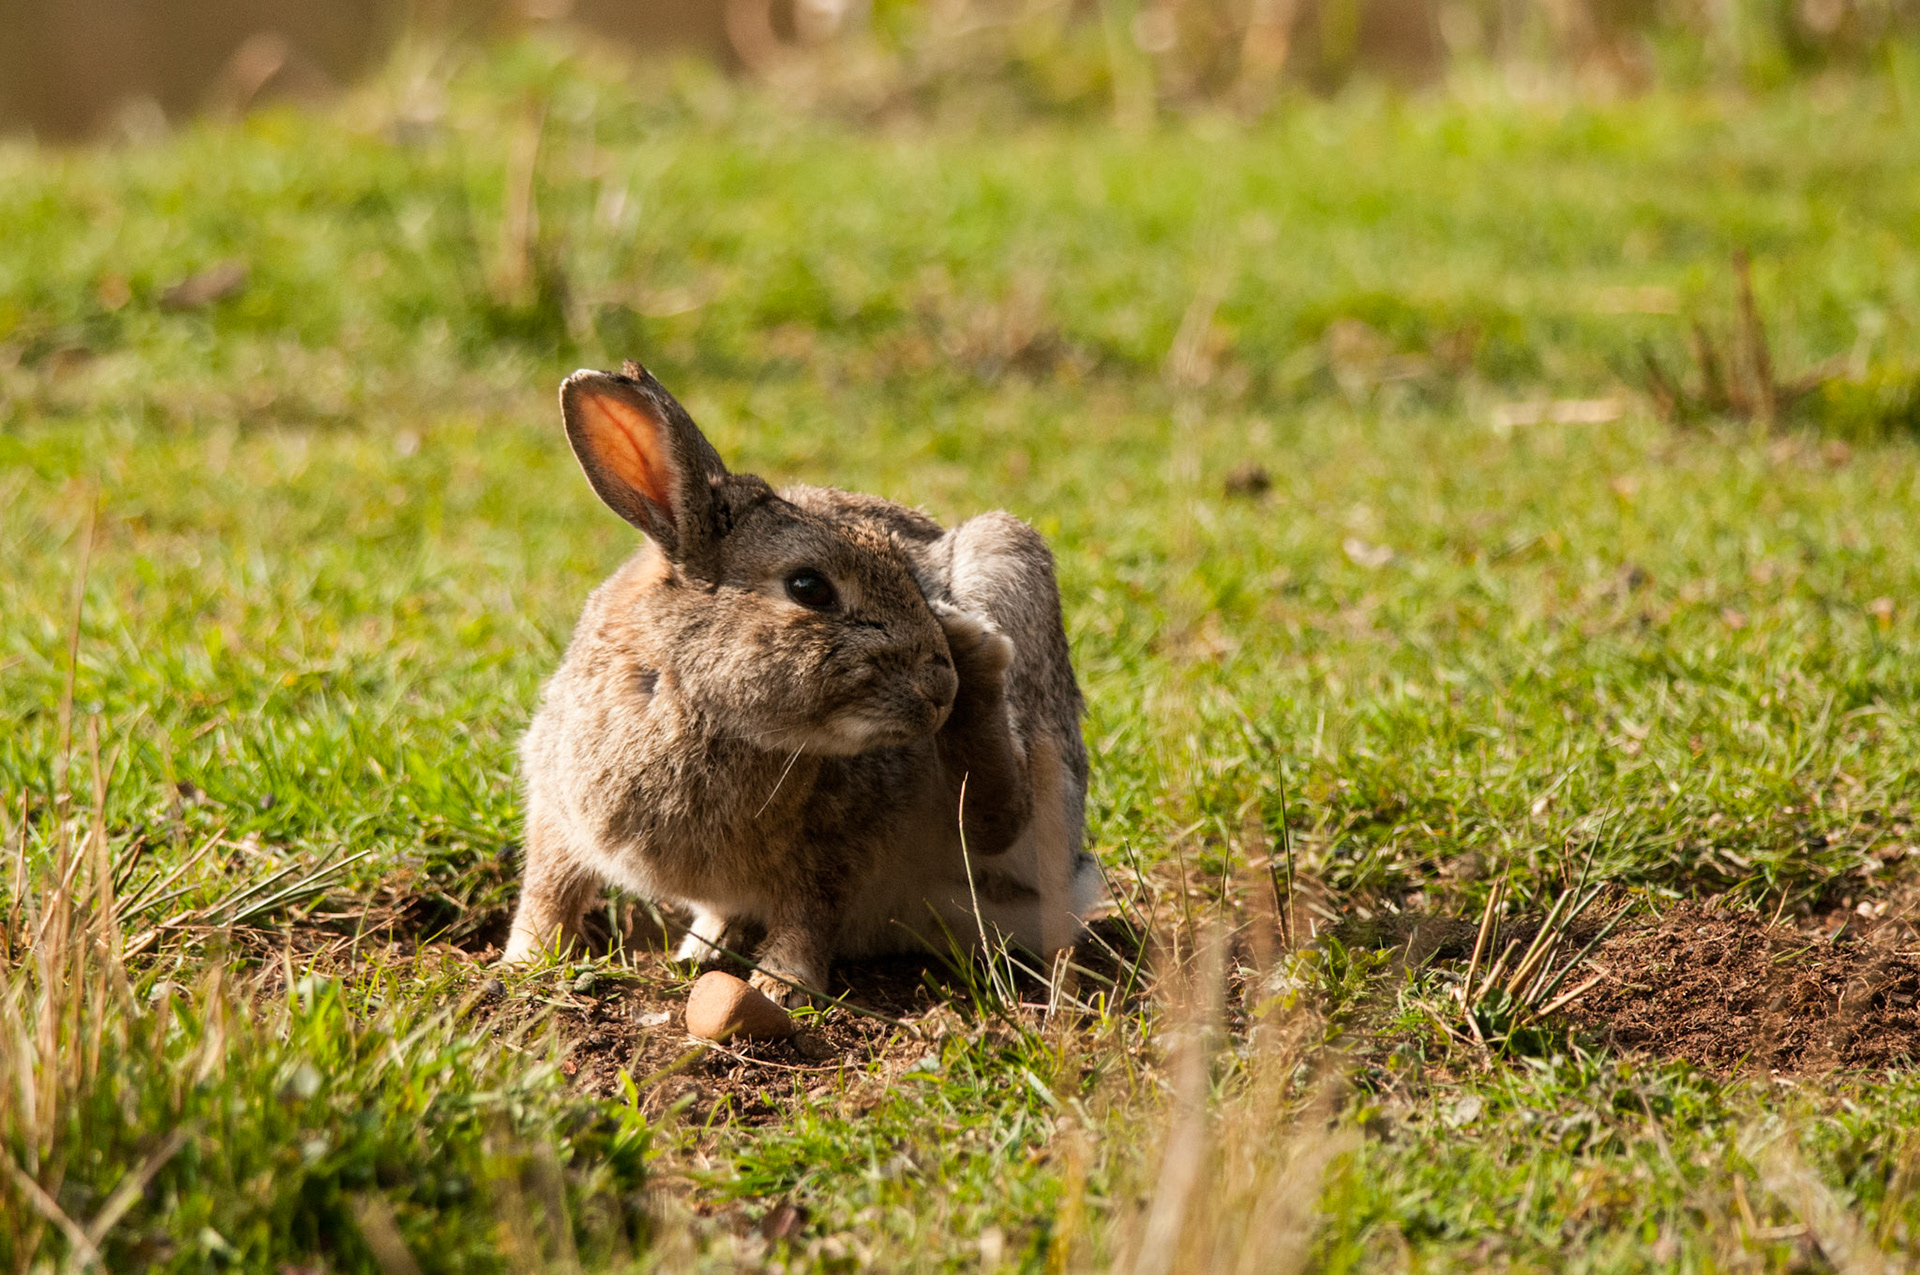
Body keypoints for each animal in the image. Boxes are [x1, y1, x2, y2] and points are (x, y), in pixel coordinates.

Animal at [500, 362, 1103, 1004]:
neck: (689, 699)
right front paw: (523, 962)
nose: (939, 687)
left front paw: (781, 985)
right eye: (808, 587)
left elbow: (811, 912)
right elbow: (549, 889)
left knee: (997, 817)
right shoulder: (555, 803)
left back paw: (976, 652)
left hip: (1013, 582)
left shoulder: (840, 844)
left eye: (904, 569)